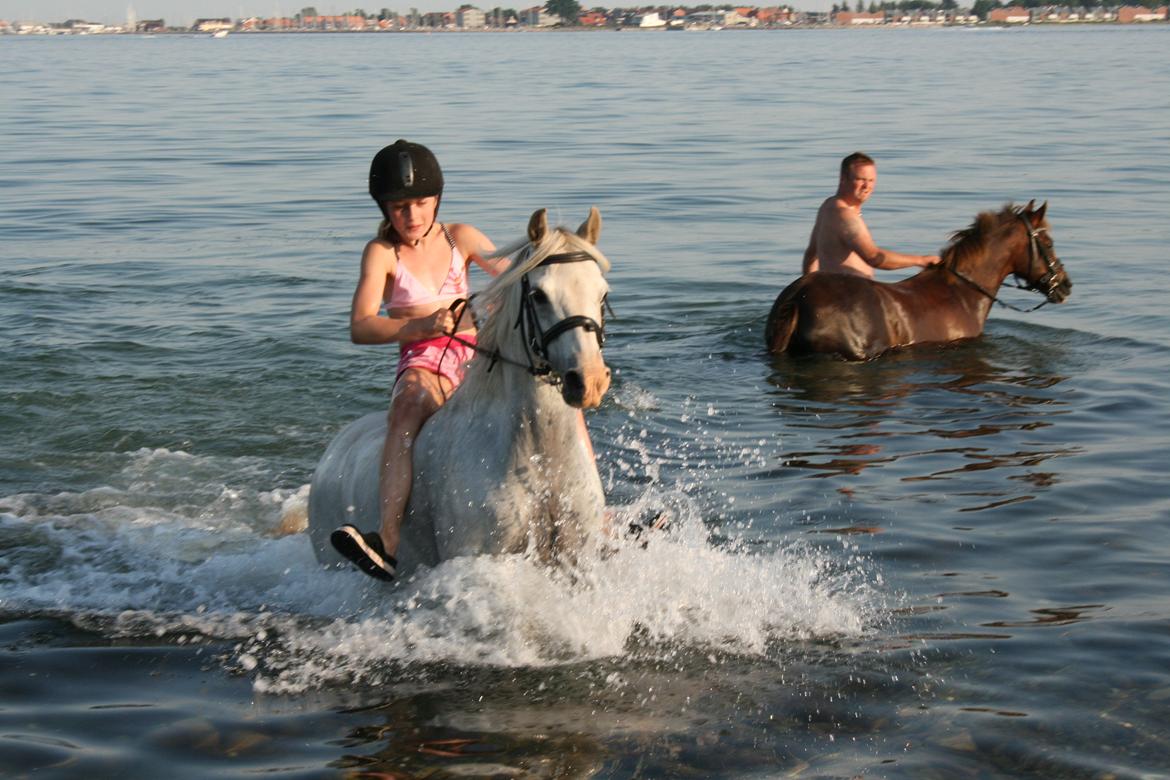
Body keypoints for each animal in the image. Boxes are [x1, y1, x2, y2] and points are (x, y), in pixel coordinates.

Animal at [306, 206, 617, 580]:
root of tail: (333, 451)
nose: (589, 381)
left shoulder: (577, 560)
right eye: (539, 295)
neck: (538, 461)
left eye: (602, 293)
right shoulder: (481, 557)